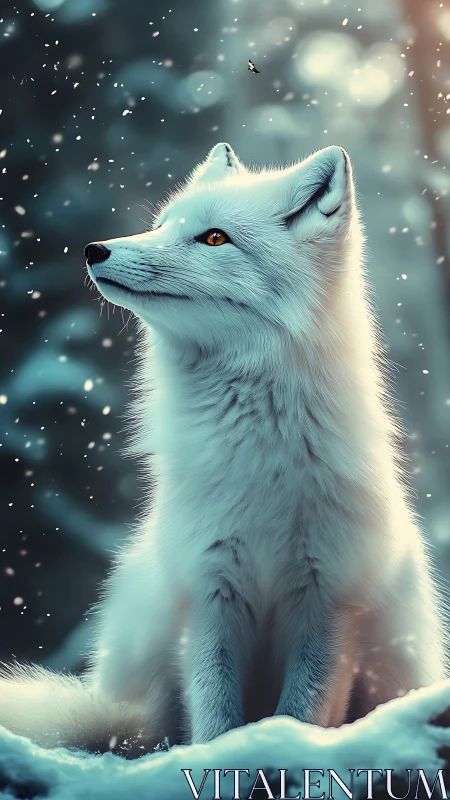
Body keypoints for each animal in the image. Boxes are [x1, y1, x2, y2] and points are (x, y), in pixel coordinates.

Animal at [0, 142, 446, 756]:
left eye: (214, 238)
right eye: (163, 224)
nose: (94, 249)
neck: (260, 460)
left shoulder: (330, 599)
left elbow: (301, 712)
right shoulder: (209, 591)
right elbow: (214, 715)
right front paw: (219, 758)